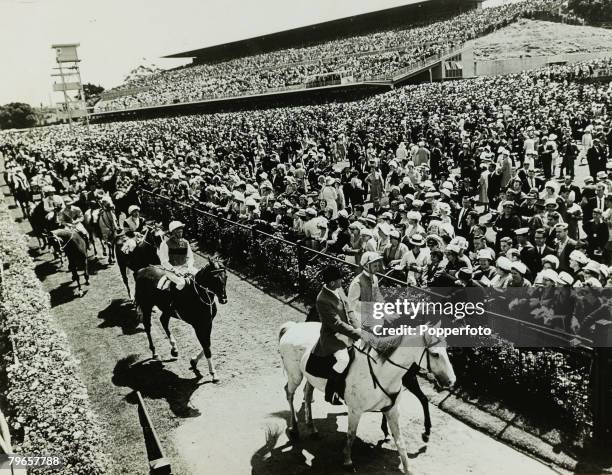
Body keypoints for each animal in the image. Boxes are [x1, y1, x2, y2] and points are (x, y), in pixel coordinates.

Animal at [278, 322, 454, 474]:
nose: (451, 381)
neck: (382, 373)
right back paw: (295, 428)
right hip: (295, 376)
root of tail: (293, 326)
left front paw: (407, 468)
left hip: (309, 377)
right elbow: (351, 435)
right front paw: (347, 461)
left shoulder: (392, 410)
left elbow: (400, 441)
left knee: (307, 394)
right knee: (289, 394)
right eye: (435, 354)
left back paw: (312, 428)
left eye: (447, 351)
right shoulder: (355, 411)